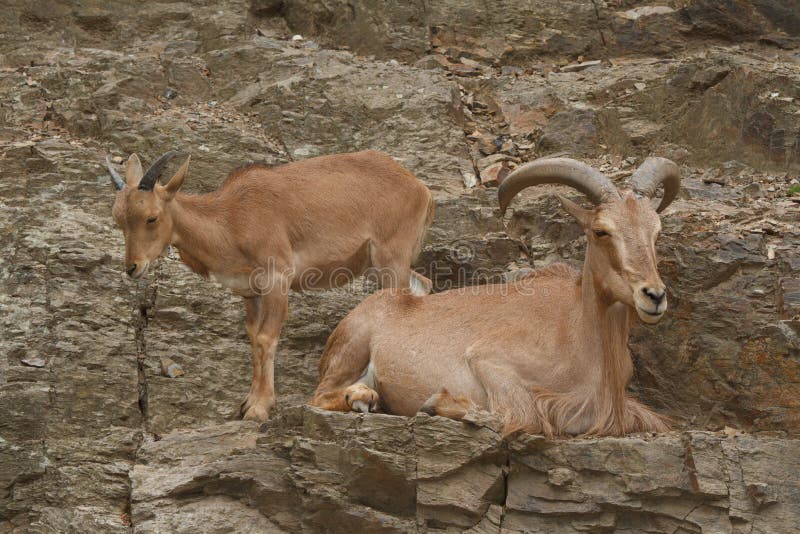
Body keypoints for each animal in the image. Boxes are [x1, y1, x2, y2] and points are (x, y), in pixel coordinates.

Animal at [107, 151, 434, 422]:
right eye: (119, 219)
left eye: (151, 217)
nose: (132, 267)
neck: (231, 218)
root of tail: (421, 189)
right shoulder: (252, 292)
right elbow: (254, 338)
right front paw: (248, 402)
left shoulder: (278, 279)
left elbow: (267, 338)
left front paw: (260, 408)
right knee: (424, 283)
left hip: (391, 257)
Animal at [310, 158, 680, 440]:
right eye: (601, 231)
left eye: (656, 232)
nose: (654, 295)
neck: (584, 336)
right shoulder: (490, 362)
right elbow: (522, 417)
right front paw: (437, 404)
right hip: (353, 346)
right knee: (319, 395)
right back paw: (362, 397)